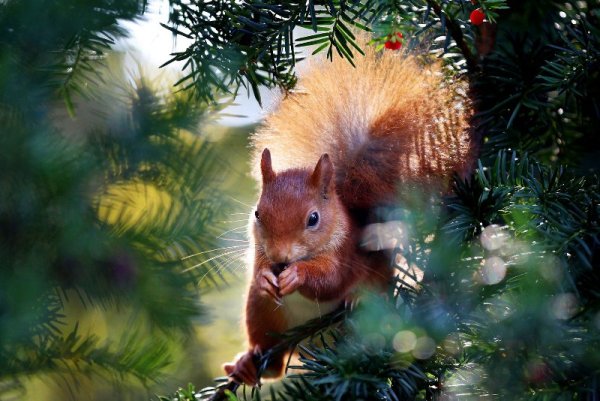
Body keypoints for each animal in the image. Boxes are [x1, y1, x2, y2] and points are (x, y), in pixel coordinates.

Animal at [223, 39, 476, 384]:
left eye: (313, 219)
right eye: (258, 214)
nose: (280, 258)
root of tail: (308, 348)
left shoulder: (345, 254)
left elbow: (331, 279)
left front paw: (299, 275)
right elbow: (258, 266)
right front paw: (264, 276)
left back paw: (359, 303)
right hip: (261, 314)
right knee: (272, 363)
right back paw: (247, 365)